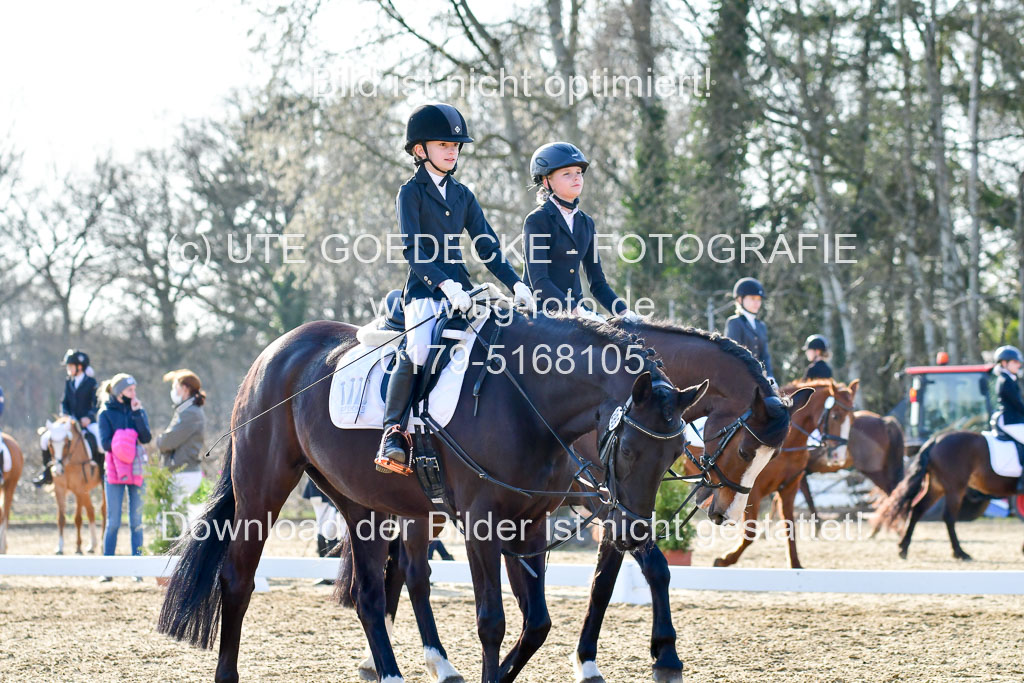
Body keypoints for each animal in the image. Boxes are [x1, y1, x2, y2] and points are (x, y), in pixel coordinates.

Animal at [39, 417, 105, 557]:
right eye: (50, 444)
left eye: (66, 443)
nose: (57, 471)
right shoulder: (59, 489)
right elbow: (61, 518)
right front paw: (59, 547)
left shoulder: (78, 489)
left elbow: (78, 518)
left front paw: (78, 548)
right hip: (85, 491)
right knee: (91, 510)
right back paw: (92, 545)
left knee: (103, 510)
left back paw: (102, 544)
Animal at [155, 311, 761, 683]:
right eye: (631, 449)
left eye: (673, 452)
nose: (635, 528)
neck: (528, 399)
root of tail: (278, 351)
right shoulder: (485, 524)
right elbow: (493, 618)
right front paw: (657, 654)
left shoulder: (530, 523)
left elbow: (538, 622)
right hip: (263, 488)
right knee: (238, 579)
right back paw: (230, 673)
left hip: (366, 505)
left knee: (377, 591)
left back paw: (401, 670)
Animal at [348, 321, 811, 683]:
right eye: (747, 450)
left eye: (775, 453)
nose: (725, 513)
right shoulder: (608, 507)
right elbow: (644, 570)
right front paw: (657, 654)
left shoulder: (618, 512)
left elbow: (609, 581)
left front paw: (610, 658)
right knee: (407, 570)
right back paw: (395, 661)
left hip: (427, 507)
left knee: (406, 569)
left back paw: (399, 661)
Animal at [708, 376, 860, 569]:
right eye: (835, 416)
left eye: (853, 419)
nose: (838, 457)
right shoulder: (752, 490)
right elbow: (750, 533)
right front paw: (726, 559)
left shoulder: (789, 487)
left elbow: (790, 525)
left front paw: (796, 564)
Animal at [872, 432, 1024, 561]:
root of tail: (936, 440)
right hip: (955, 488)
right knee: (949, 517)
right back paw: (960, 552)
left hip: (937, 486)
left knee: (918, 510)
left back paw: (903, 548)